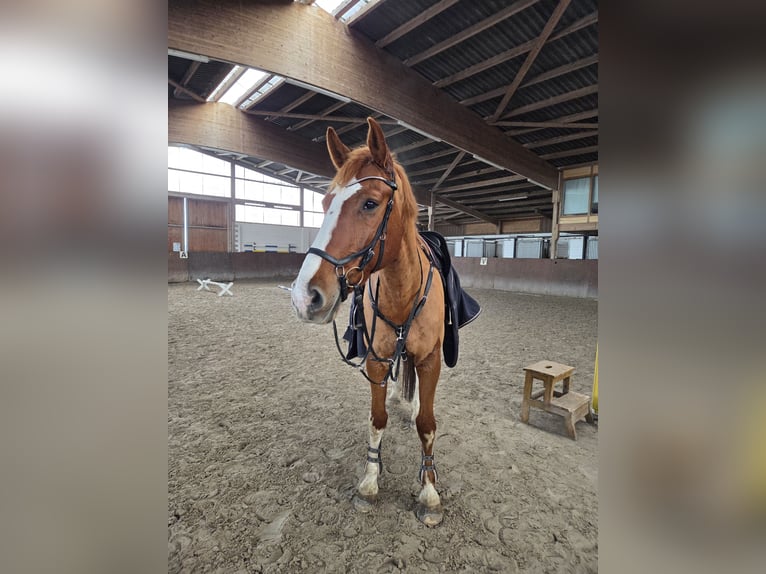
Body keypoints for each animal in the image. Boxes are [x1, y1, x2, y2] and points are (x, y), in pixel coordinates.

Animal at [291, 117, 447, 526]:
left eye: (370, 203)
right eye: (325, 203)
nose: (304, 296)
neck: (402, 289)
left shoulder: (430, 360)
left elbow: (427, 424)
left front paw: (429, 492)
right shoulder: (376, 361)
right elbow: (377, 419)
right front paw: (369, 483)